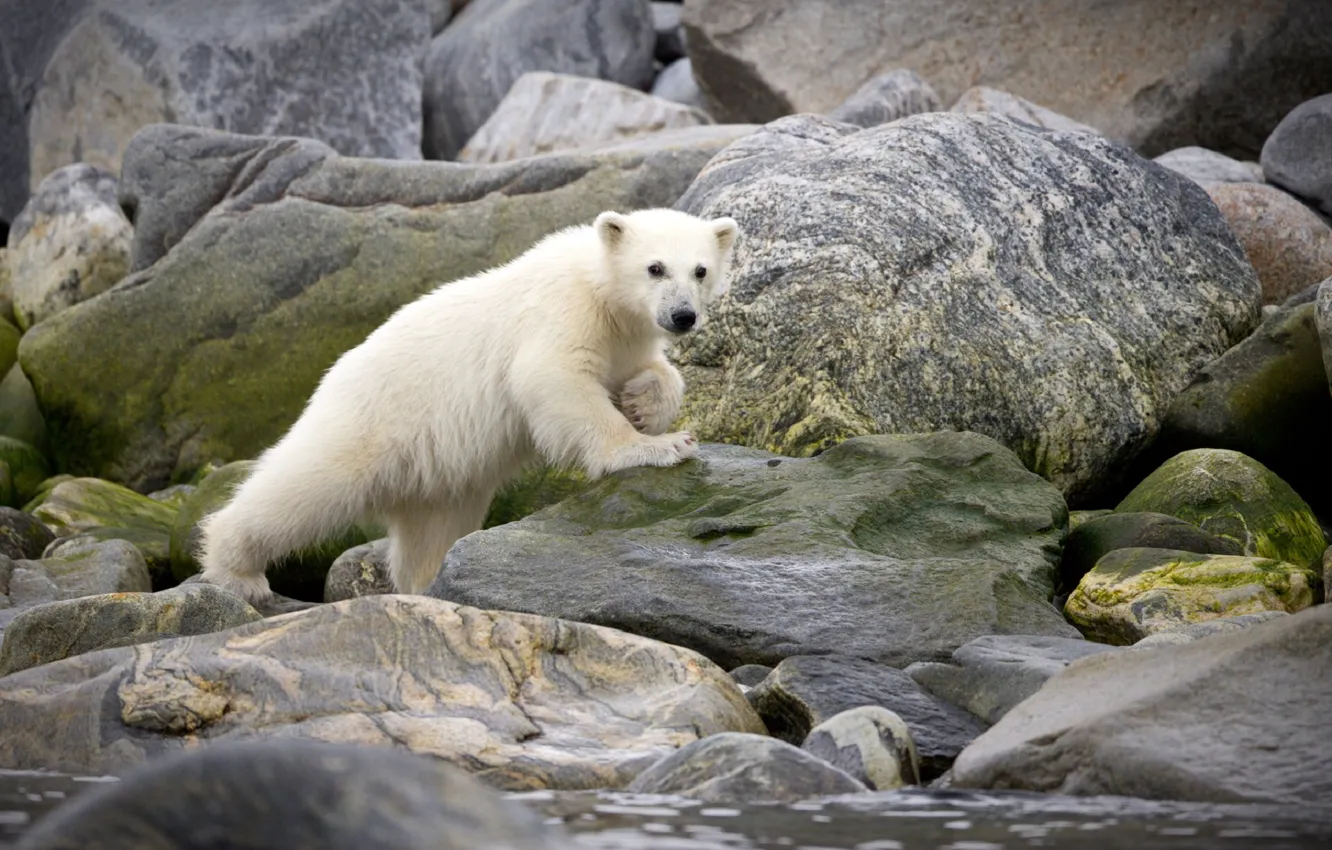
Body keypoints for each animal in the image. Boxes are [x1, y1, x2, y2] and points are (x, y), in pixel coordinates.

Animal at [197, 208, 740, 607]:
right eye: (655, 267)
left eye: (700, 270)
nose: (683, 315)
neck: (600, 291)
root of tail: (331, 378)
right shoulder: (562, 313)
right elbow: (553, 378)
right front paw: (657, 446)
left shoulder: (627, 336)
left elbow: (654, 371)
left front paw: (645, 406)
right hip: (370, 421)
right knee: (303, 486)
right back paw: (236, 569)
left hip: (439, 475)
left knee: (433, 531)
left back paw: (430, 585)